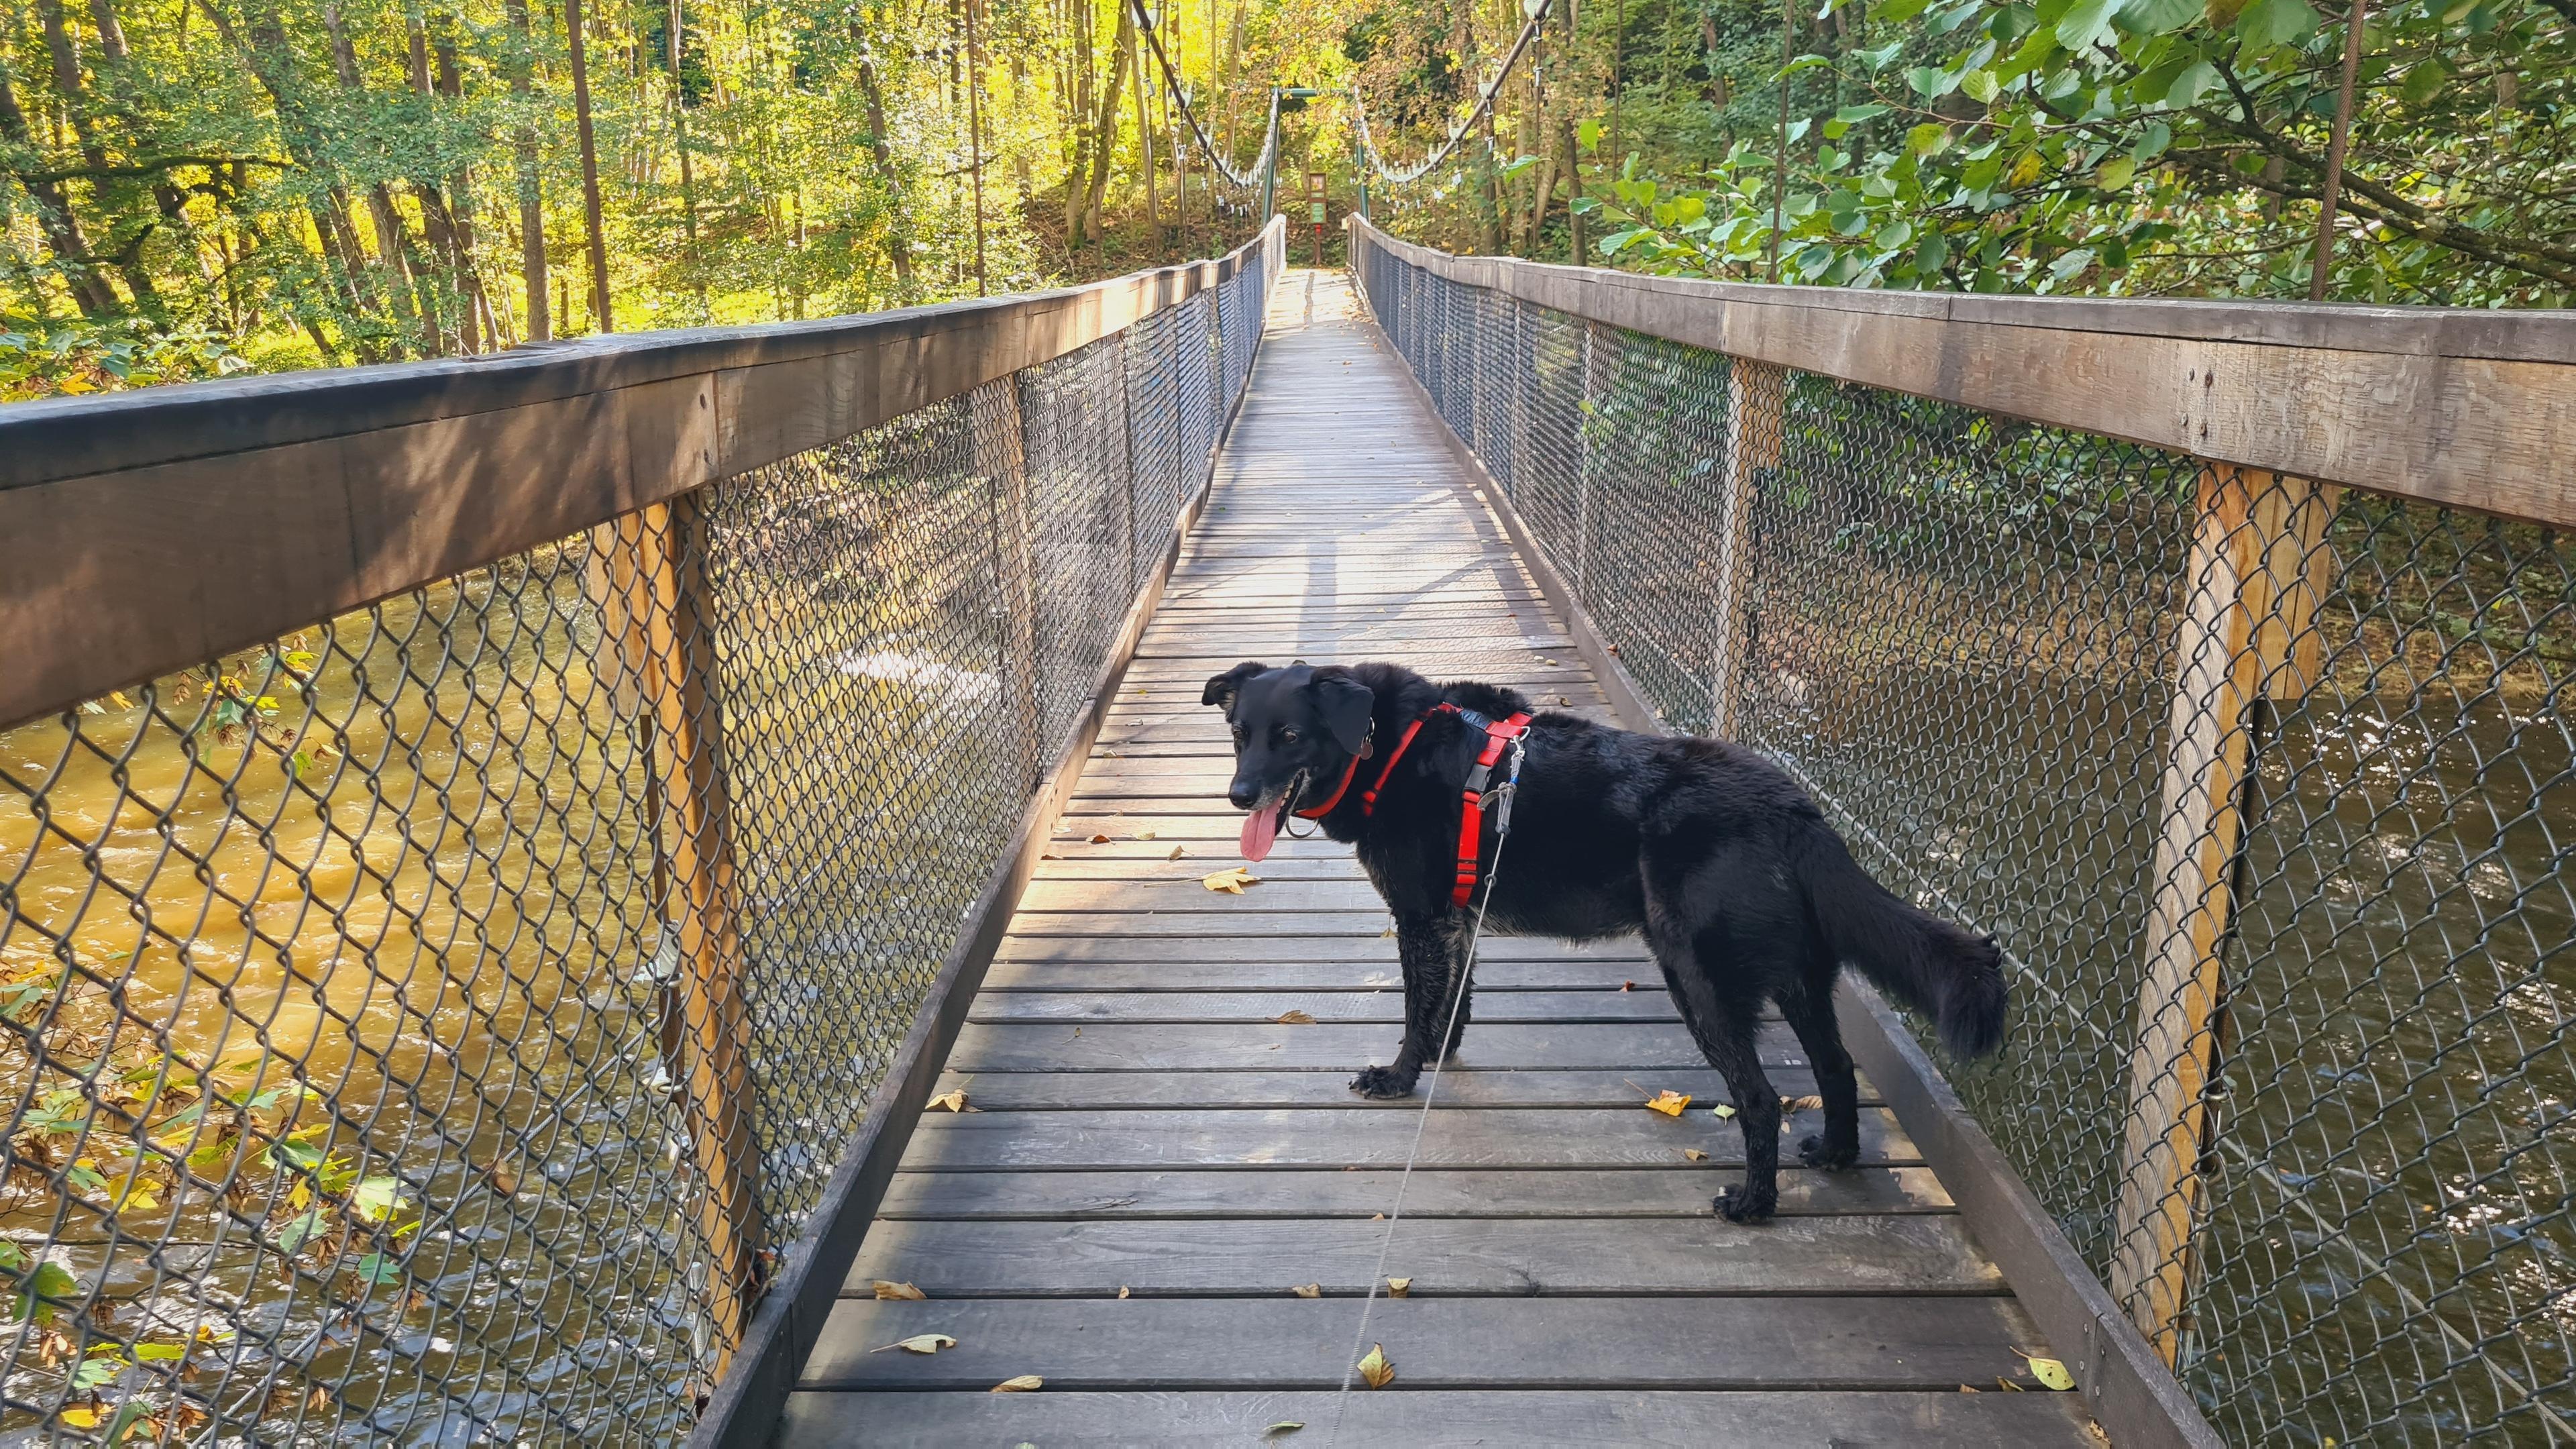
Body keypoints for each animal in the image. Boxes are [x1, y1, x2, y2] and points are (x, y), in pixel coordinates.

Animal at [1195, 665, 1998, 1217]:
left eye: (1289, 736)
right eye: (1239, 736)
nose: (1237, 797)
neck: (1381, 747)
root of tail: (1793, 809)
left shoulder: (1420, 918)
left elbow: (1417, 1009)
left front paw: (1399, 1077)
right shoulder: (1458, 921)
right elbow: (1453, 1001)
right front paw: (1442, 1055)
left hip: (1701, 982)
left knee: (1762, 1100)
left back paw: (1752, 1207)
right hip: (1801, 979)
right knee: (1834, 1069)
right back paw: (1833, 1154)